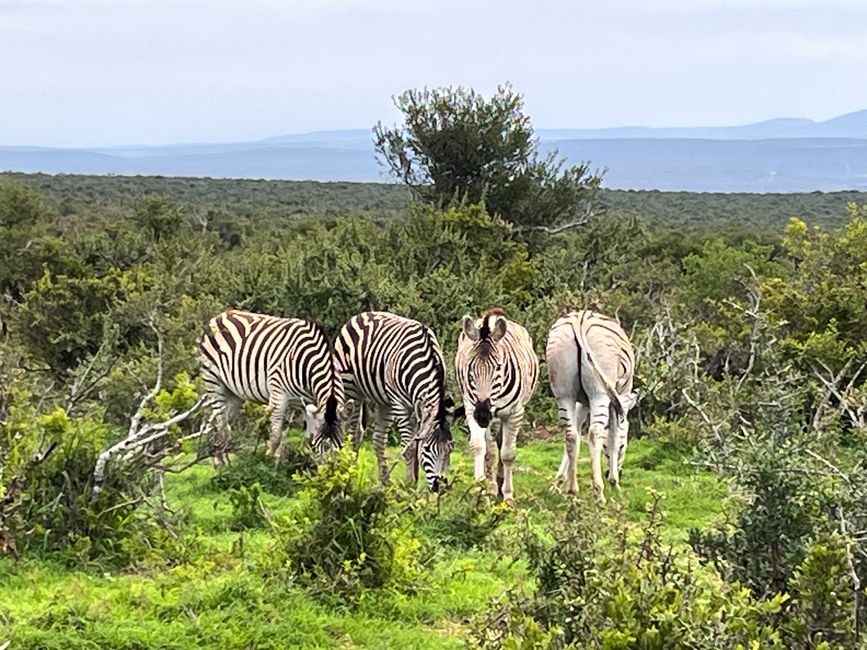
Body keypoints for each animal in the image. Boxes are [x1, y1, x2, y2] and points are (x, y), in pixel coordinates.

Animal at [198, 308, 344, 460]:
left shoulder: (308, 404)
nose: (332, 465)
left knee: (224, 425)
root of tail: (220, 315)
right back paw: (222, 463)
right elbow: (276, 436)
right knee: (221, 425)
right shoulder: (278, 395)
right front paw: (268, 460)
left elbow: (308, 437)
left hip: (233, 392)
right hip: (213, 380)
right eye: (325, 444)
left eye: (340, 443)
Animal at [332, 312, 454, 488]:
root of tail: (360, 315)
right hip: (352, 388)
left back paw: (385, 481)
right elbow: (409, 448)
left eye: (450, 450)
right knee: (353, 433)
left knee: (377, 438)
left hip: (385, 401)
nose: (441, 488)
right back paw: (350, 472)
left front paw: (414, 482)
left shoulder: (418, 406)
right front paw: (410, 484)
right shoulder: (400, 405)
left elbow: (414, 442)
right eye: (427, 450)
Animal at [458, 308, 540, 502]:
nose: (482, 414)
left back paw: (501, 482)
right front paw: (482, 492)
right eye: (470, 368)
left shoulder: (515, 413)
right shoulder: (470, 407)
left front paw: (508, 496)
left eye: (498, 368)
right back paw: (493, 486)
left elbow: (508, 454)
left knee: (502, 444)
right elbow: (481, 448)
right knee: (492, 449)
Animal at [548, 308, 636, 496]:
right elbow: (614, 433)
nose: (610, 474)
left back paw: (572, 490)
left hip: (563, 392)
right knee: (594, 432)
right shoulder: (620, 397)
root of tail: (580, 319)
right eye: (623, 447)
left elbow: (577, 430)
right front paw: (614, 484)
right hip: (599, 393)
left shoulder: (582, 403)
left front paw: (558, 481)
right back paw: (599, 491)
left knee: (570, 434)